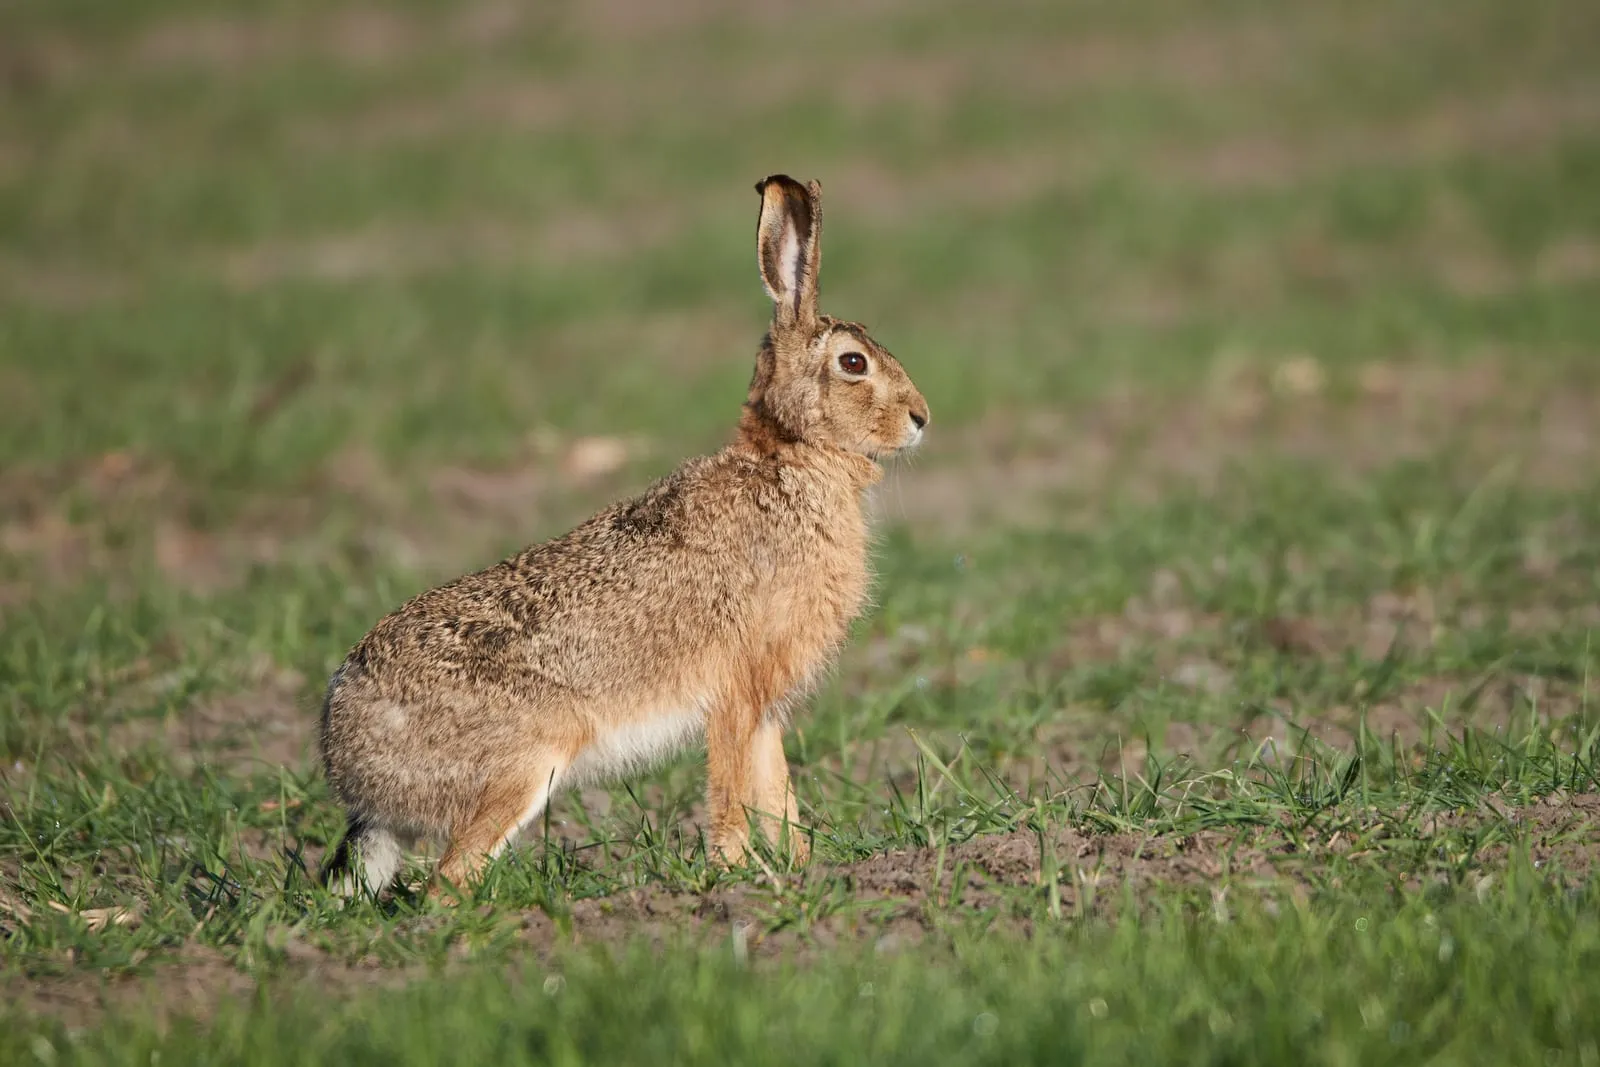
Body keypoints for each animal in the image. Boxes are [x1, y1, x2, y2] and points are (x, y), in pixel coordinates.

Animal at [318, 175, 930, 898]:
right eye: (853, 362)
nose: (922, 417)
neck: (788, 461)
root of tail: (349, 763)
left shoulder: (764, 707)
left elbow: (777, 791)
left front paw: (803, 868)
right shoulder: (733, 691)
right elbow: (732, 791)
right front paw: (733, 873)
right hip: (524, 765)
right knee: (448, 885)